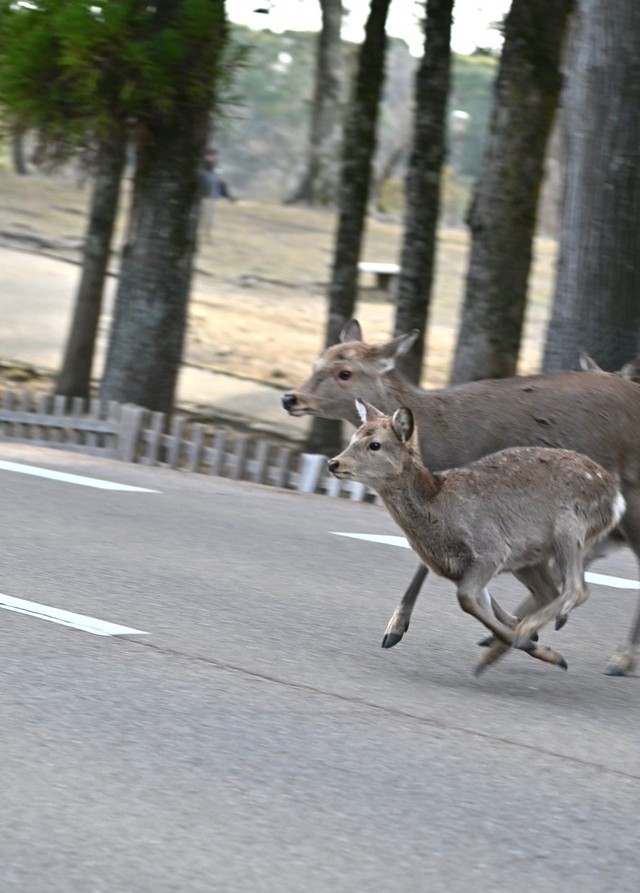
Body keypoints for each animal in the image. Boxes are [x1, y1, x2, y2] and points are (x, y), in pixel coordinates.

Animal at [330, 400, 624, 672]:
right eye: (354, 437)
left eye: (375, 445)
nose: (334, 462)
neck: (440, 511)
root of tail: (615, 497)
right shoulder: (471, 566)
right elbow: (482, 604)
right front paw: (529, 642)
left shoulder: (491, 549)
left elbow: (466, 598)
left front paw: (536, 647)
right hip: (531, 558)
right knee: (552, 591)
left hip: (569, 527)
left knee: (577, 588)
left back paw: (519, 638)